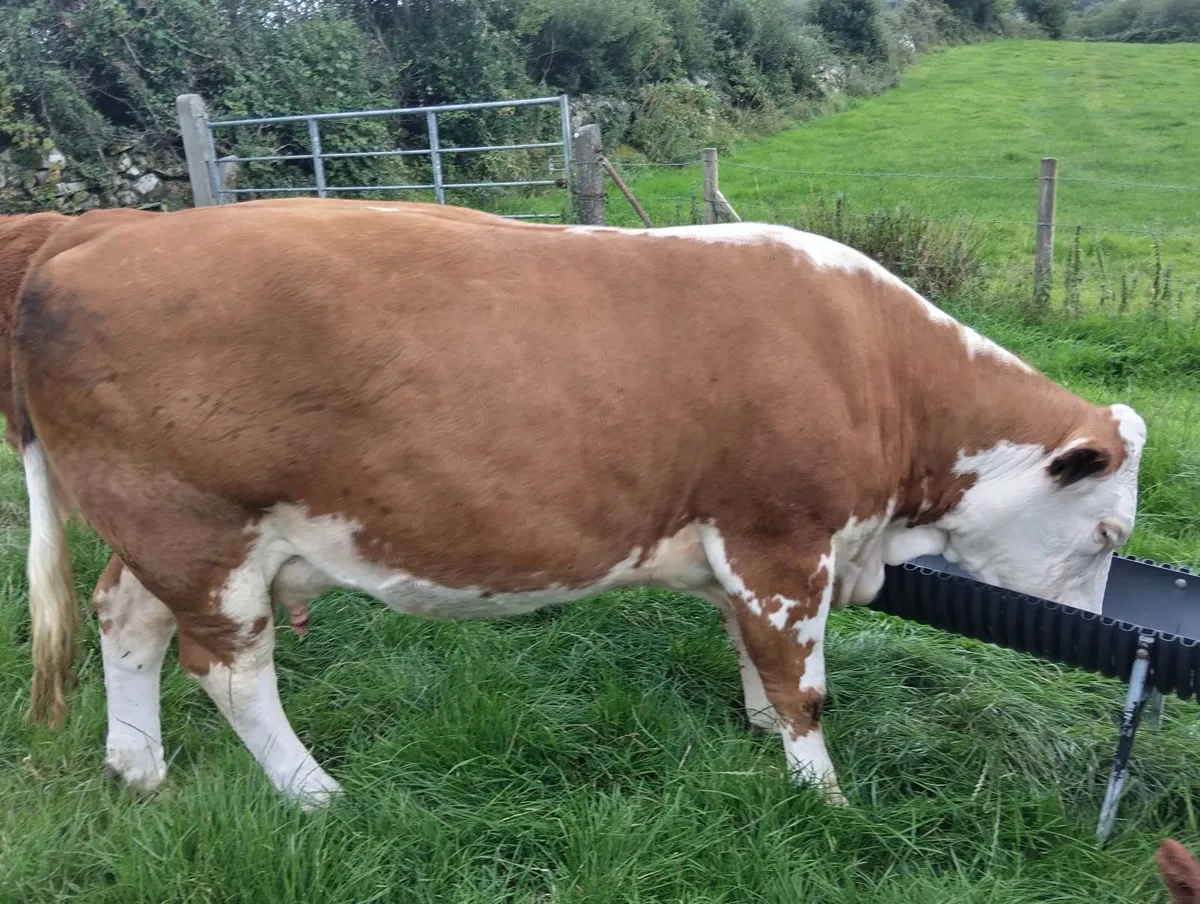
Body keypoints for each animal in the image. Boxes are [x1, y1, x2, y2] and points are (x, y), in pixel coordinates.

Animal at [13, 202, 1146, 808]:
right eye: (1106, 532)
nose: (1084, 644)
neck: (874, 368)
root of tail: (90, 232)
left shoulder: (744, 551)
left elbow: (750, 653)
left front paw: (754, 731)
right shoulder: (781, 537)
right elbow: (803, 682)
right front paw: (819, 790)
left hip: (160, 536)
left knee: (126, 619)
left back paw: (138, 767)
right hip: (198, 531)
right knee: (231, 673)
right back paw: (313, 792)